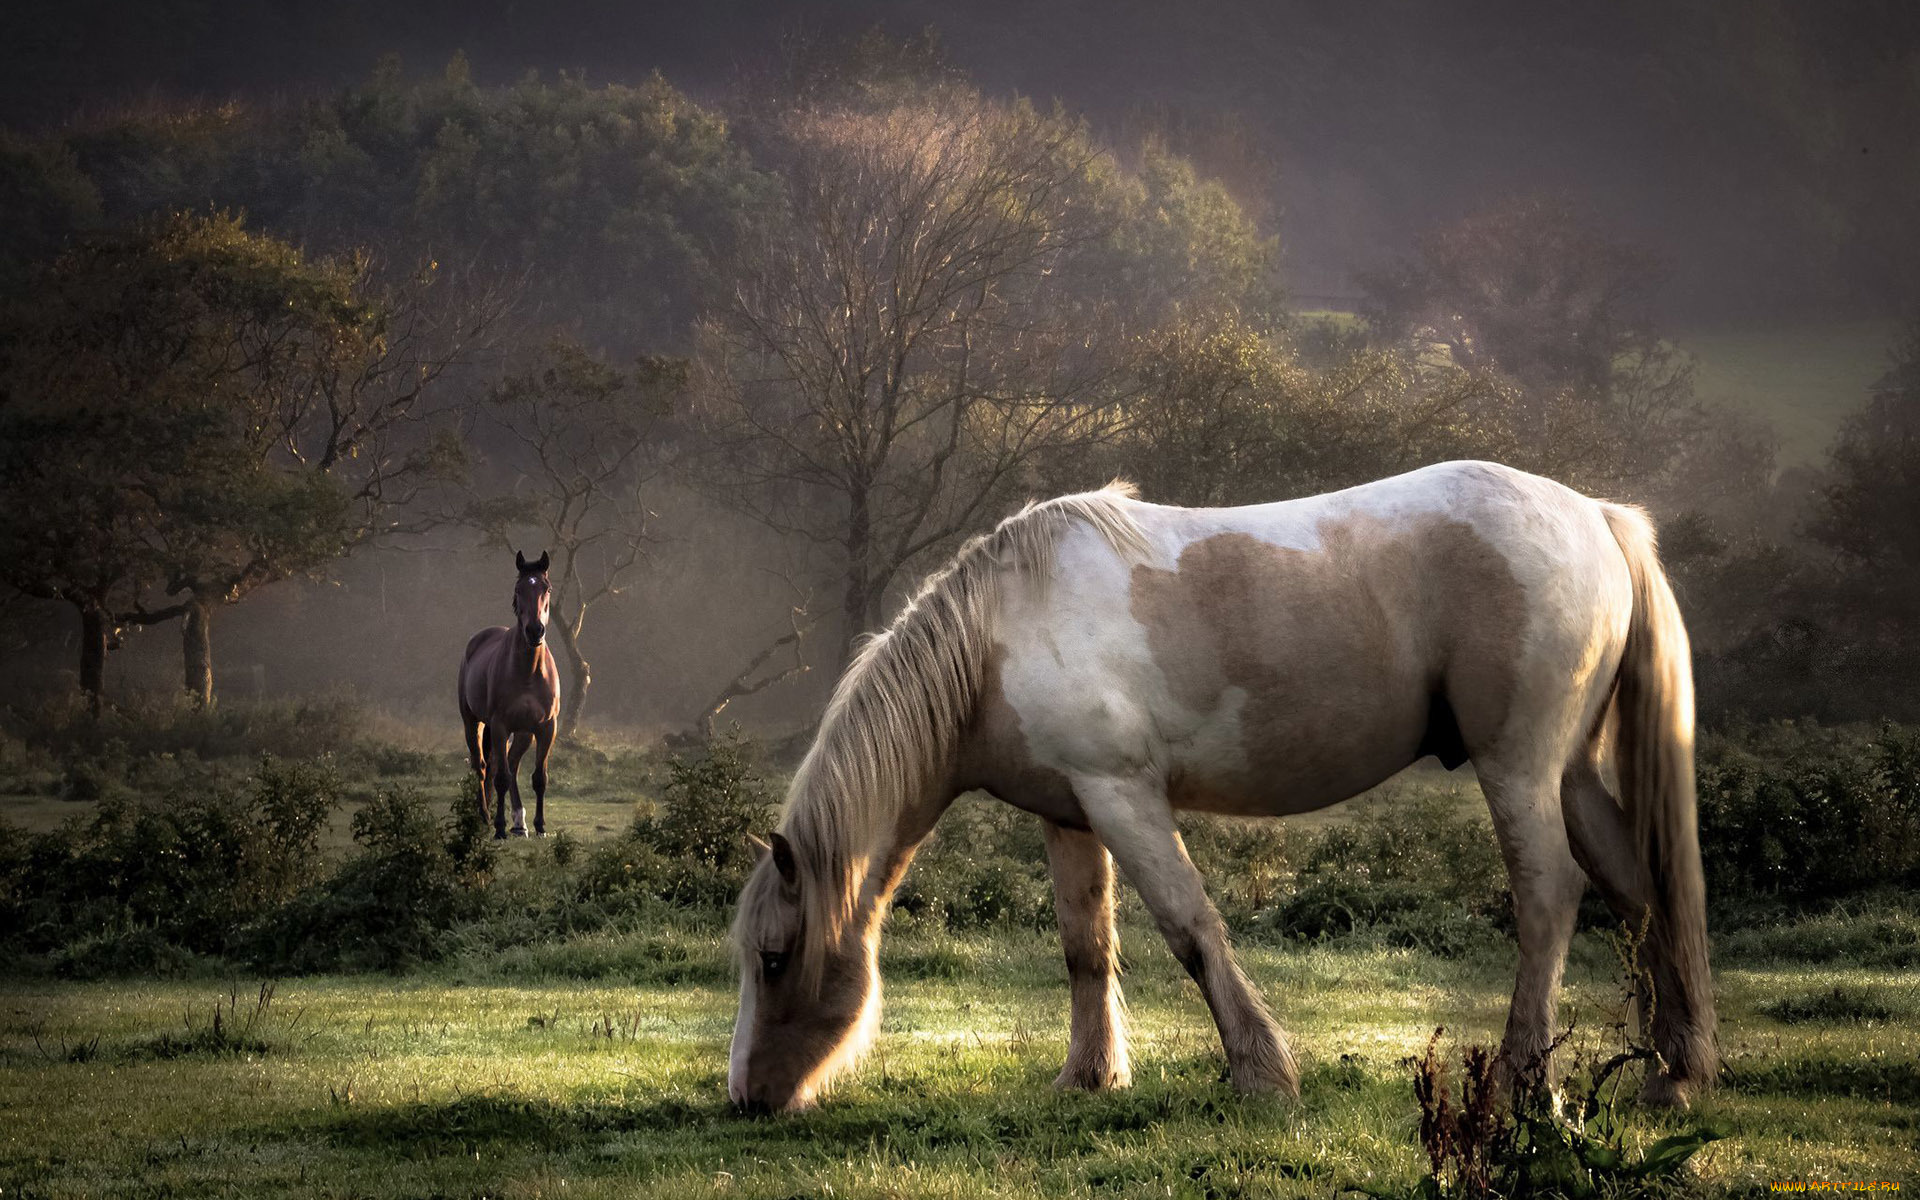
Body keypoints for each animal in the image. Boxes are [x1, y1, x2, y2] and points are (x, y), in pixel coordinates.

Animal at [458, 549, 560, 837]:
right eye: (518, 589)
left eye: (547, 588)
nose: (535, 630)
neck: (528, 672)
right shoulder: (500, 725)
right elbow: (500, 777)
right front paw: (500, 829)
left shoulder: (546, 727)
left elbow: (539, 778)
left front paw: (539, 826)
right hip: (474, 723)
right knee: (483, 766)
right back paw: (485, 816)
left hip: (524, 733)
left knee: (512, 764)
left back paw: (519, 822)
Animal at [725, 460, 1720, 1113]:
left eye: (774, 959)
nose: (748, 1099)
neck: (1001, 635)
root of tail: (1595, 516)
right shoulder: (1069, 814)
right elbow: (1086, 948)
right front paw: (1088, 1078)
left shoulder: (1124, 797)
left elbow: (1191, 931)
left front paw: (1262, 1076)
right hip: (1570, 773)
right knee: (1639, 892)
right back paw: (1673, 1074)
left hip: (1517, 766)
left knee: (1550, 898)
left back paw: (1524, 1084)